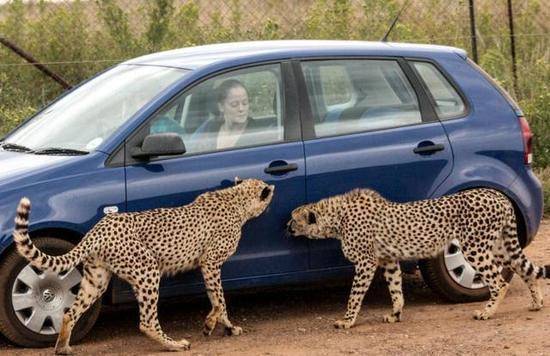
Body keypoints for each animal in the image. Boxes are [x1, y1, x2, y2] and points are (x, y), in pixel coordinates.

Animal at [14, 178, 276, 354]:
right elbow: (219, 300)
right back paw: (175, 344)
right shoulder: (210, 262)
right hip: (148, 270)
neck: (236, 200)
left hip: (96, 280)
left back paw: (62, 347)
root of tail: (99, 227)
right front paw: (213, 324)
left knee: (69, 312)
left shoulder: (209, 265)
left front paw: (226, 326)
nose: (273, 195)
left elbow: (218, 299)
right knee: (147, 321)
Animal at [288, 188, 550, 330]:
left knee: (500, 282)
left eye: (293, 219)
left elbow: (354, 296)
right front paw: (395, 315)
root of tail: (496, 194)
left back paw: (487, 312)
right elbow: (396, 289)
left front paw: (347, 321)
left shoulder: (366, 263)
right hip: (499, 247)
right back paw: (536, 303)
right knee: (523, 269)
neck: (337, 218)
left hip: (475, 248)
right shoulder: (389, 260)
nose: (286, 226)